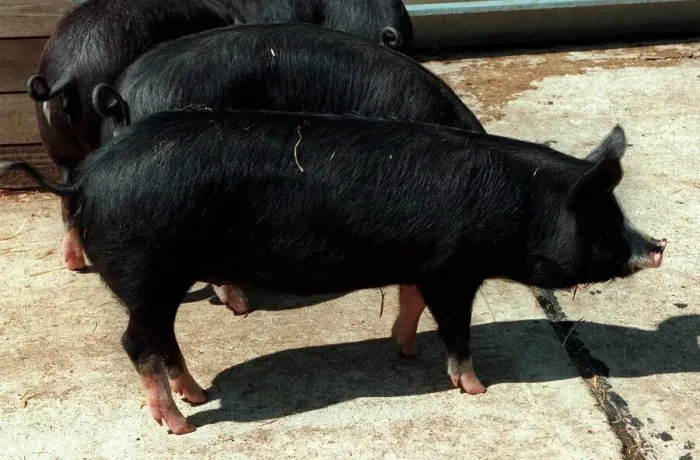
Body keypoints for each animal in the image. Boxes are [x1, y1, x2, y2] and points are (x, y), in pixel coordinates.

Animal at [1, 109, 666, 434]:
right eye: (604, 218)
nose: (657, 246)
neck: (521, 206)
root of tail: (84, 178)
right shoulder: (455, 268)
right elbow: (455, 327)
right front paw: (476, 388)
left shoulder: (420, 262)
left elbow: (410, 302)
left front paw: (405, 353)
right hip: (148, 270)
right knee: (137, 341)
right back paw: (182, 426)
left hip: (158, 281)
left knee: (161, 339)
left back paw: (200, 394)